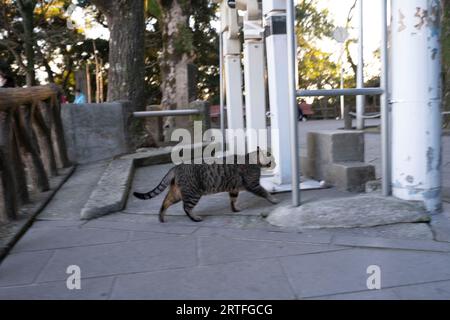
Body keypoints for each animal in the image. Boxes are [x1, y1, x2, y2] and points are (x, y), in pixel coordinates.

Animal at [134, 149, 280, 222]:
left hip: (177, 193)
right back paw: (195, 218)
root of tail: (177, 167)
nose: (276, 162)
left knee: (165, 202)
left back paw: (161, 217)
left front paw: (235, 209)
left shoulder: (233, 188)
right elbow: (265, 192)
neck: (251, 160)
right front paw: (273, 200)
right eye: (271, 159)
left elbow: (233, 200)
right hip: (192, 193)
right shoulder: (253, 184)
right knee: (186, 207)